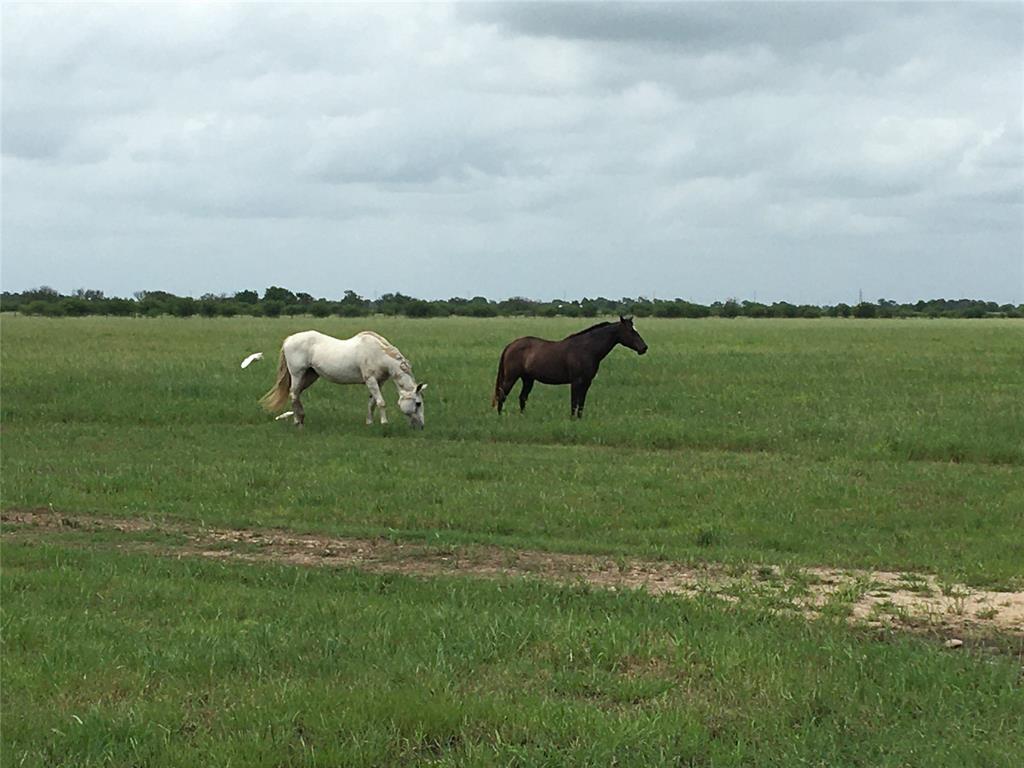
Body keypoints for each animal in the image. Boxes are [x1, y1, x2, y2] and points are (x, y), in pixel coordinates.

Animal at [264, 329, 428, 430]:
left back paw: (299, 419)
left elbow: (371, 403)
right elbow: (381, 402)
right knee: (293, 394)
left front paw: (369, 423)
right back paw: (299, 422)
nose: (421, 426)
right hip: (297, 374)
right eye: (418, 403)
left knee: (296, 394)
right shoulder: (370, 380)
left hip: (310, 376)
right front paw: (384, 423)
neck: (379, 354)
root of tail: (288, 340)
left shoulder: (379, 382)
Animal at [489, 315, 647, 417]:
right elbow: (574, 403)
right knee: (502, 395)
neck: (587, 349)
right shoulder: (576, 381)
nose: (644, 348)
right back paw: (500, 417)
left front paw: (579, 419)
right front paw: (572, 420)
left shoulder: (587, 382)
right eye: (631, 331)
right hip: (511, 377)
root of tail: (511, 345)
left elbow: (581, 403)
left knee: (522, 397)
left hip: (528, 379)